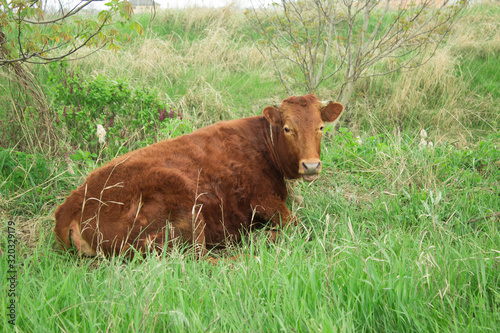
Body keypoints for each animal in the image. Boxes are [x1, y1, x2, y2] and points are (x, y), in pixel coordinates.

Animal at [54, 93, 344, 256]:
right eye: (287, 128)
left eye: (321, 127)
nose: (311, 166)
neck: (261, 144)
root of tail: (68, 208)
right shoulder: (263, 199)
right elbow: (298, 225)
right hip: (183, 207)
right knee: (201, 261)